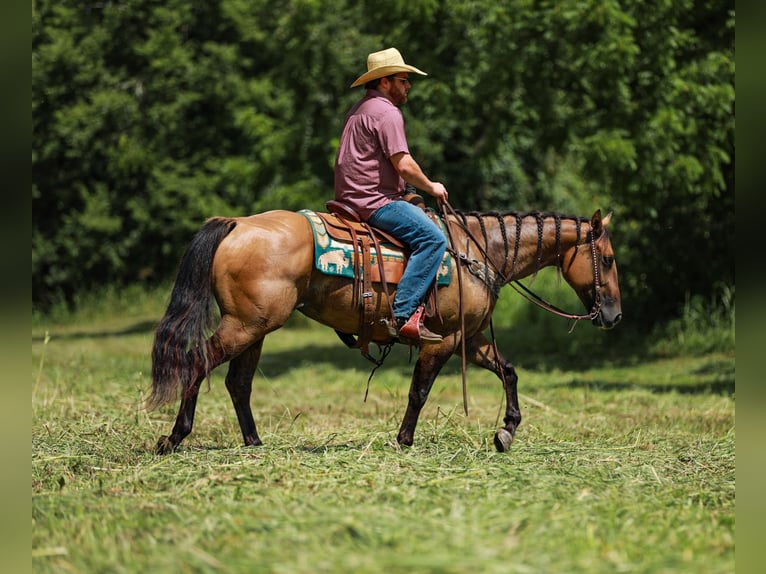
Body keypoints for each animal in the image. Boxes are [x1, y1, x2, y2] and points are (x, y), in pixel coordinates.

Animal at [149, 207, 621, 454]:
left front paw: (506, 431)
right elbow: (419, 392)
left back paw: (253, 441)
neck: (479, 252)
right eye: (609, 259)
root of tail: (238, 222)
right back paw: (174, 437)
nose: (614, 315)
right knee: (198, 363)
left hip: (256, 328)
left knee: (238, 382)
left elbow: (509, 371)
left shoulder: (471, 339)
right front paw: (404, 439)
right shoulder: (444, 341)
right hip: (245, 326)